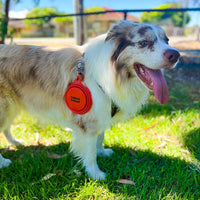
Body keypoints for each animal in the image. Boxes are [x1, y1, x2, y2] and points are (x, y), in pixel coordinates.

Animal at [0, 20, 180, 180]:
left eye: (167, 40)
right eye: (143, 42)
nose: (175, 55)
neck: (111, 73)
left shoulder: (101, 113)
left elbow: (100, 137)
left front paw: (102, 151)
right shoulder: (88, 122)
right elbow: (90, 152)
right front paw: (95, 174)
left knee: (6, 128)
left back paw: (15, 142)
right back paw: (3, 162)